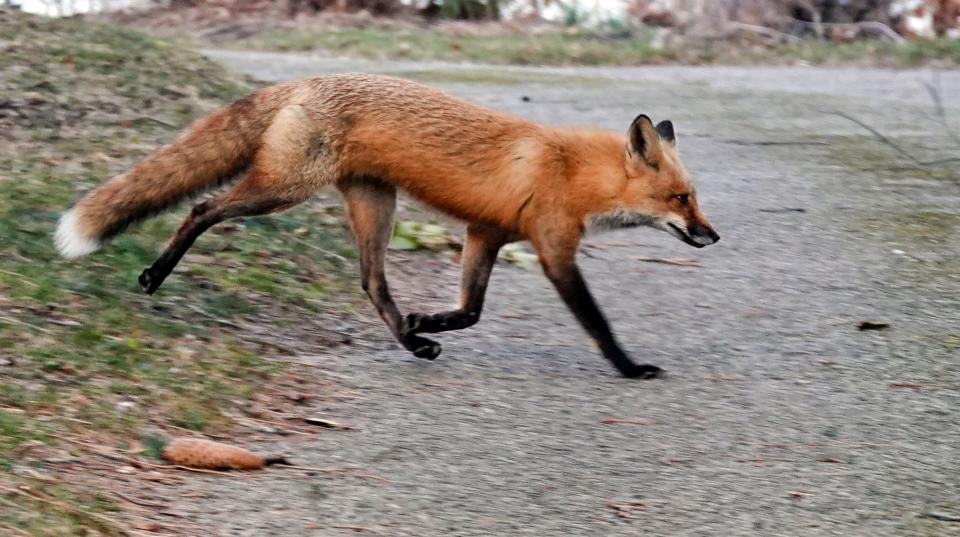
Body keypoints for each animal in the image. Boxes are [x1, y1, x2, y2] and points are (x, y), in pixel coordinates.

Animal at [56, 73, 716, 378]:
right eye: (681, 198)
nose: (713, 236)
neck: (574, 172)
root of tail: (301, 82)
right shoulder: (554, 252)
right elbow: (598, 324)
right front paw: (629, 367)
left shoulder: (485, 234)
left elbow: (469, 311)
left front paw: (427, 321)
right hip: (281, 191)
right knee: (200, 210)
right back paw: (155, 274)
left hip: (375, 209)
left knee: (372, 285)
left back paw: (412, 340)